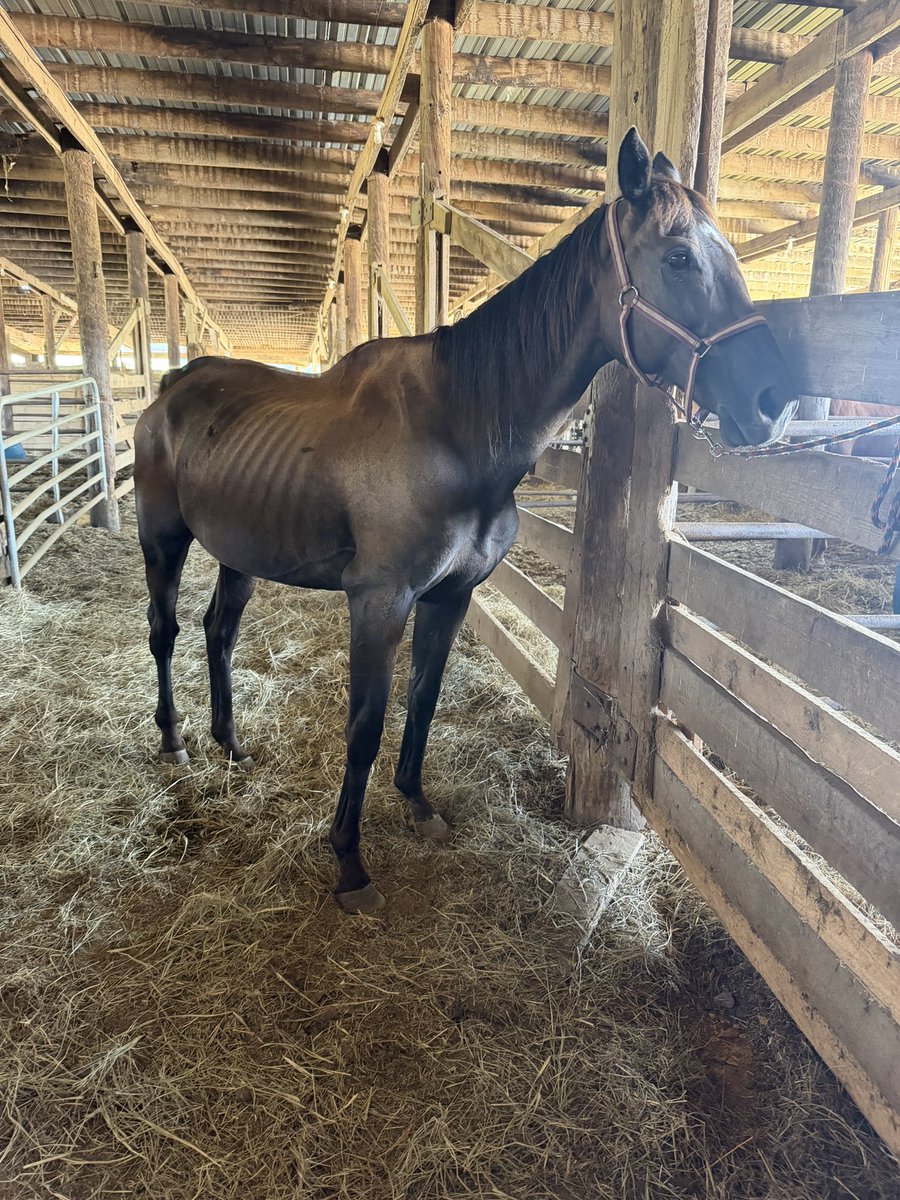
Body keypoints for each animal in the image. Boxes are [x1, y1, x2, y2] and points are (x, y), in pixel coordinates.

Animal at [134, 129, 798, 914]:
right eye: (679, 257)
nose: (773, 399)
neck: (455, 426)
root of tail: (169, 388)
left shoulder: (451, 597)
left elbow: (424, 699)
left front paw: (417, 804)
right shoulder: (379, 601)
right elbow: (365, 724)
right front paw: (350, 862)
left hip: (239, 552)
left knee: (219, 632)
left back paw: (229, 744)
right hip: (163, 541)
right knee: (165, 632)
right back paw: (174, 741)